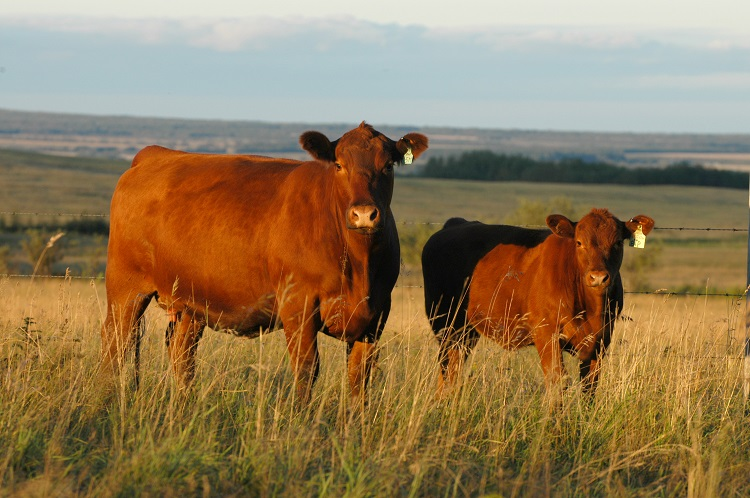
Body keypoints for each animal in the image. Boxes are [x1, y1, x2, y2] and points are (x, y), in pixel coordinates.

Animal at [103, 121, 428, 404]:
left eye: (388, 166)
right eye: (339, 165)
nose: (363, 214)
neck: (359, 265)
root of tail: (155, 155)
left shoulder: (376, 315)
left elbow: (359, 376)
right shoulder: (298, 306)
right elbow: (307, 370)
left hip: (190, 302)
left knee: (181, 353)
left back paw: (185, 404)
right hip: (125, 288)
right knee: (117, 342)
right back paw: (112, 399)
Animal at [426, 208, 656, 398]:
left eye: (618, 243)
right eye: (579, 242)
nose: (598, 277)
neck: (592, 309)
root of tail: (456, 224)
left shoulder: (601, 341)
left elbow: (589, 387)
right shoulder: (546, 333)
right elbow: (558, 381)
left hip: (466, 332)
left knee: (454, 368)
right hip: (445, 324)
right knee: (446, 368)